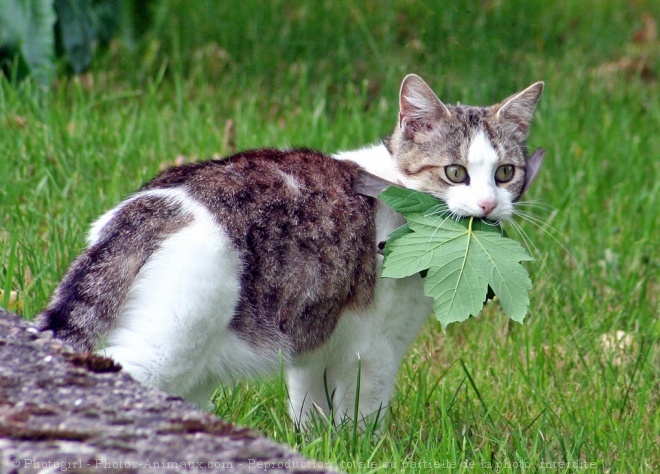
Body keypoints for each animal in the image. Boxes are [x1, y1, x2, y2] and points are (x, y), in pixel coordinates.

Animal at [36, 73, 544, 426]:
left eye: (505, 173)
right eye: (455, 173)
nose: (489, 205)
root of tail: (157, 202)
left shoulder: (314, 342)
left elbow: (310, 407)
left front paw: (317, 441)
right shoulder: (375, 349)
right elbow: (364, 413)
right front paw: (360, 446)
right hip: (170, 343)